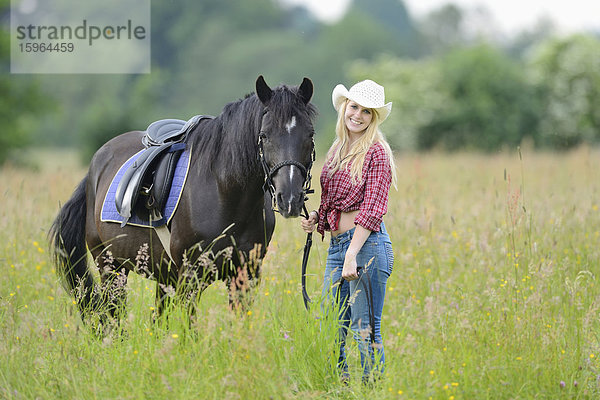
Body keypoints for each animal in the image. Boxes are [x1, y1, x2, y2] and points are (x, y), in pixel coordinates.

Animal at [49, 74, 316, 318]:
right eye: (264, 136)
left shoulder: (246, 276)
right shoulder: (191, 277)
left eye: (310, 135)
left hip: (161, 275)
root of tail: (95, 166)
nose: (289, 198)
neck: (224, 193)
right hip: (110, 266)